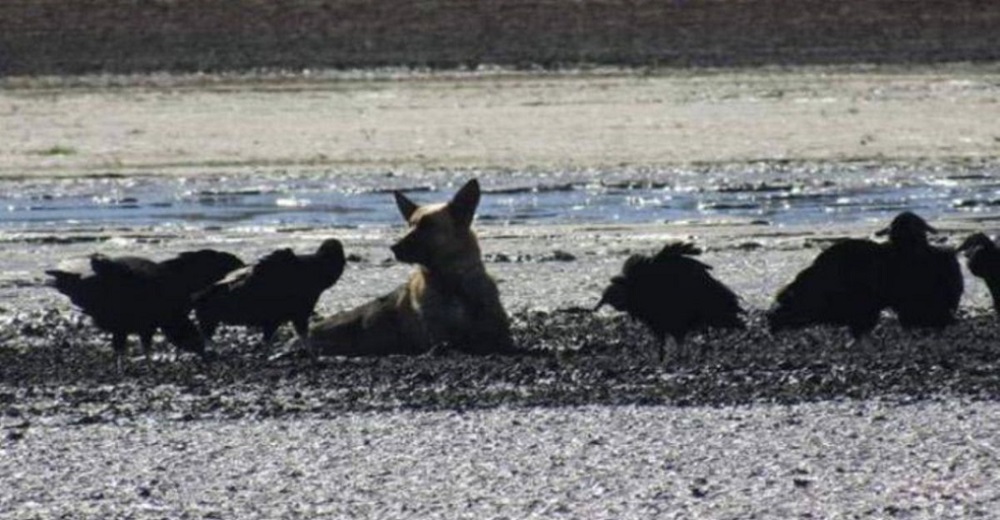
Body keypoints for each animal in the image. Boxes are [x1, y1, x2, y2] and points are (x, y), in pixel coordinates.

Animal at [310, 180, 516, 358]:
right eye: (409, 224)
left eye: (427, 224)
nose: (393, 247)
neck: (451, 282)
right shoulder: (442, 341)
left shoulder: (502, 338)